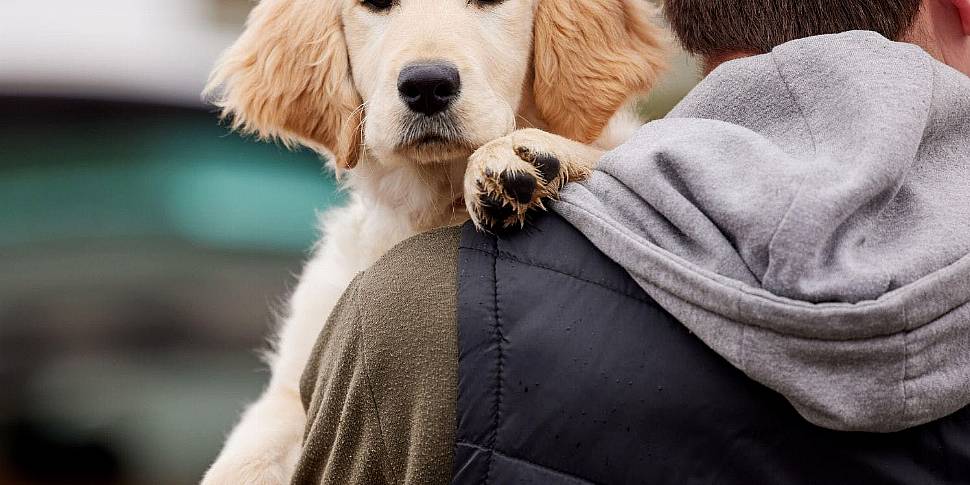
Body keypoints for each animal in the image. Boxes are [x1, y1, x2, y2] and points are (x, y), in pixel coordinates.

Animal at [200, 0, 660, 482]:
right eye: (375, 6)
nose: (426, 86)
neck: (433, 204)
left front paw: (522, 156)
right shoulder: (291, 391)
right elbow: (243, 458)